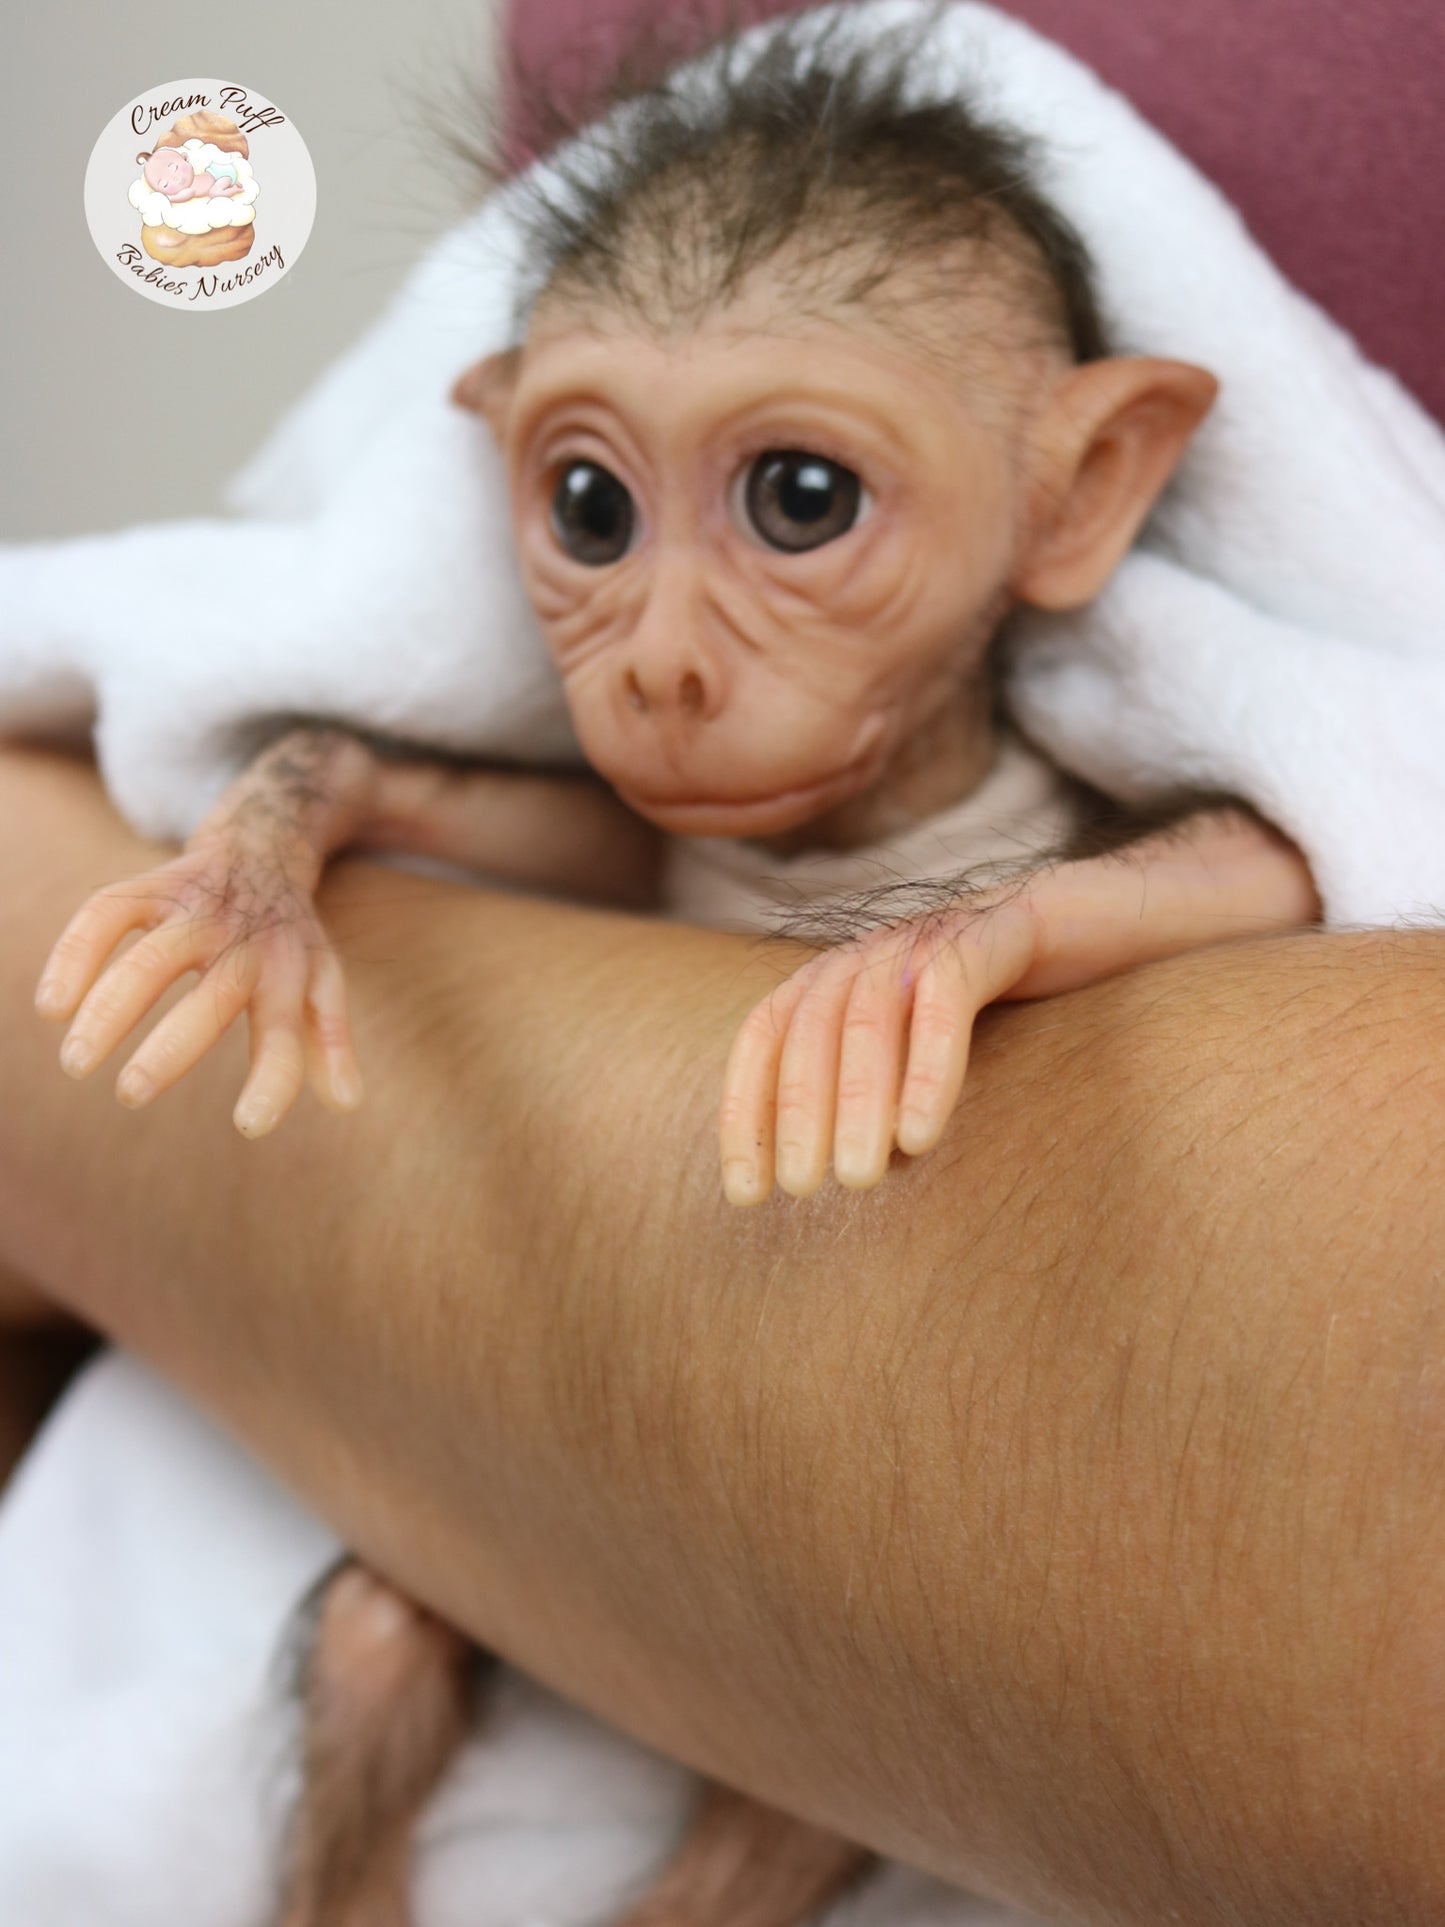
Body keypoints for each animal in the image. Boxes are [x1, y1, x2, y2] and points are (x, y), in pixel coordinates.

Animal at [26, 14, 1318, 1927]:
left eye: (801, 499)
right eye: (587, 507)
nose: (656, 672)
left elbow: (1266, 861)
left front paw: (926, 951)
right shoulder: (629, 832)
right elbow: (493, 808)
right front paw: (248, 875)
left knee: (791, 1802)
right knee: (384, 1633)